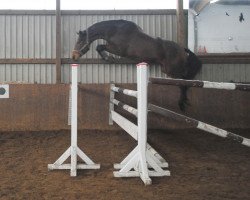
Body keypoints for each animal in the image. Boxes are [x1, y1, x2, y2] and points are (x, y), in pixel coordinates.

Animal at [72, 19, 201, 111]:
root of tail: (182, 49)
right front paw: (107, 57)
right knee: (185, 80)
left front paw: (108, 57)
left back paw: (182, 103)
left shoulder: (118, 50)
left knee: (183, 82)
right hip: (167, 69)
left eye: (80, 42)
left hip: (172, 70)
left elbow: (99, 47)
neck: (115, 31)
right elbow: (99, 47)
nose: (73, 56)